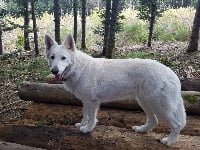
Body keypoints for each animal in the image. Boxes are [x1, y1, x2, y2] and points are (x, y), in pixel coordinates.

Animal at [45, 33, 186, 145]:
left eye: (63, 58)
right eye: (52, 57)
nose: (54, 71)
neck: (79, 68)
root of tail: (173, 75)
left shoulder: (93, 102)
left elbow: (92, 118)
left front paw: (88, 129)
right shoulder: (85, 101)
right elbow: (85, 115)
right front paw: (82, 124)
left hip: (158, 106)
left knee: (177, 124)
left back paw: (169, 141)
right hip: (145, 102)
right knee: (154, 121)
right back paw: (141, 130)